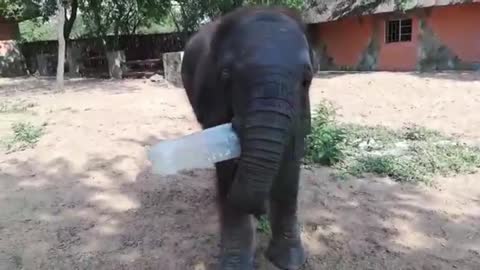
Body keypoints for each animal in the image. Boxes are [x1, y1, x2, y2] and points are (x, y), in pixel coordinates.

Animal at [182, 6, 314, 270]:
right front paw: (235, 265)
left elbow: (292, 160)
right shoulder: (213, 96)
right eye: (226, 75)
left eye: (307, 80)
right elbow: (226, 167)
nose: (260, 210)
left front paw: (289, 261)